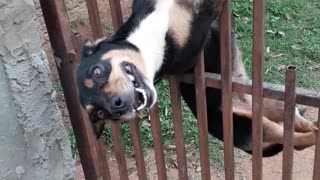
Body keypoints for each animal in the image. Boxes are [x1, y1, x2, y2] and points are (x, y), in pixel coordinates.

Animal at [75, 0, 318, 156]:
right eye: (101, 114)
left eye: (97, 71)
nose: (116, 108)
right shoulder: (204, 23)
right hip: (255, 126)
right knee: (296, 140)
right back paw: (315, 134)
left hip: (271, 103)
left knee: (294, 120)